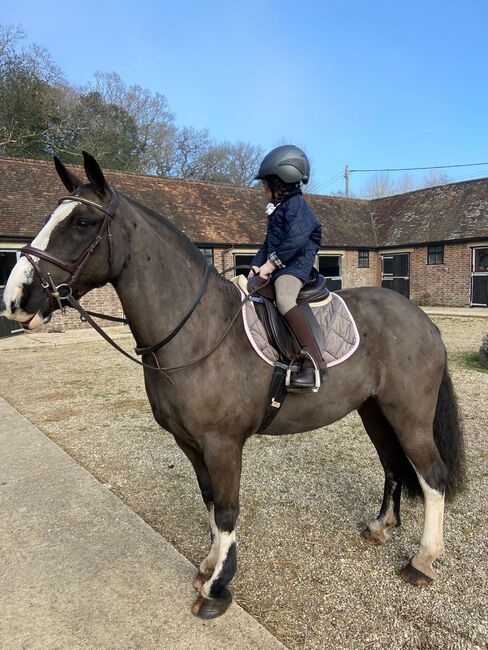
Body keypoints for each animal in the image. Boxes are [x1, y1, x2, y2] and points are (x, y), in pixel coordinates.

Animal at [2, 152, 466, 616]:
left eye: (82, 222)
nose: (15, 299)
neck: (198, 332)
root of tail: (421, 318)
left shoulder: (222, 444)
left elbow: (226, 510)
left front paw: (218, 588)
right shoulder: (190, 444)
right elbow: (209, 502)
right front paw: (209, 566)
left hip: (409, 416)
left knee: (432, 475)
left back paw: (423, 560)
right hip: (374, 410)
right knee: (392, 466)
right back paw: (381, 527)